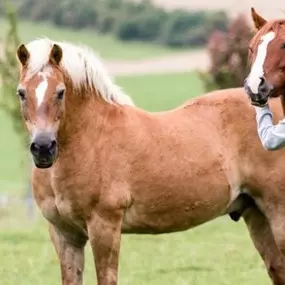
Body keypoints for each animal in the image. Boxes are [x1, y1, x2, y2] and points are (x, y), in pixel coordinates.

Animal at [16, 38, 285, 284]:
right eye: (21, 93)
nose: (43, 148)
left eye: (60, 92)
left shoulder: (104, 227)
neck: (91, 139)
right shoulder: (64, 234)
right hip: (256, 213)